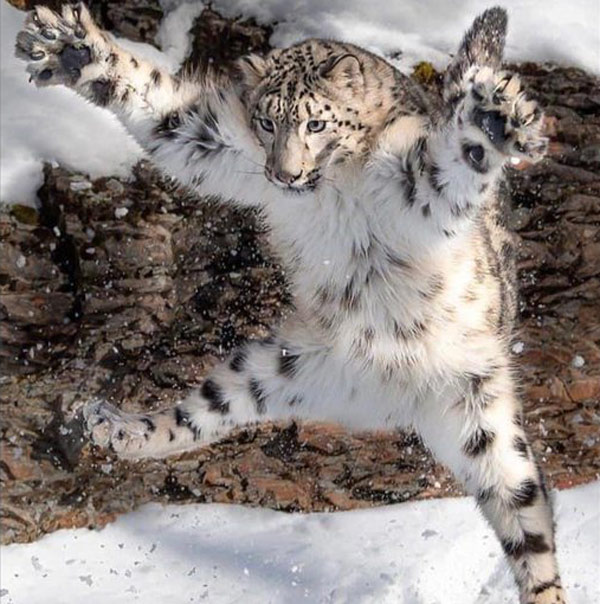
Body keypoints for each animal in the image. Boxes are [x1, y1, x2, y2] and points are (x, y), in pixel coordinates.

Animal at [16, 5, 564, 604]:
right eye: (266, 122)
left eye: (317, 124)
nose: (284, 174)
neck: (333, 190)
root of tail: (389, 398)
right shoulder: (214, 142)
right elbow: (164, 113)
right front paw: (73, 49)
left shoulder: (418, 185)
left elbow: (454, 165)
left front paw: (494, 120)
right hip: (273, 367)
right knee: (195, 416)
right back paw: (114, 427)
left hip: (484, 419)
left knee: (527, 525)